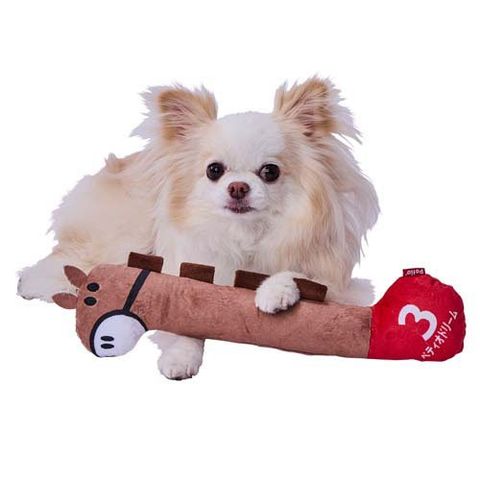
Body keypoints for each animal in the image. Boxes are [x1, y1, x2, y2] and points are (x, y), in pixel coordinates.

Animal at [18, 76, 379, 379]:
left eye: (270, 172)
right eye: (214, 170)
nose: (238, 187)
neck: (245, 235)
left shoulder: (345, 287)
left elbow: (303, 277)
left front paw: (274, 291)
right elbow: (180, 319)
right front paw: (180, 357)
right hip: (121, 236)